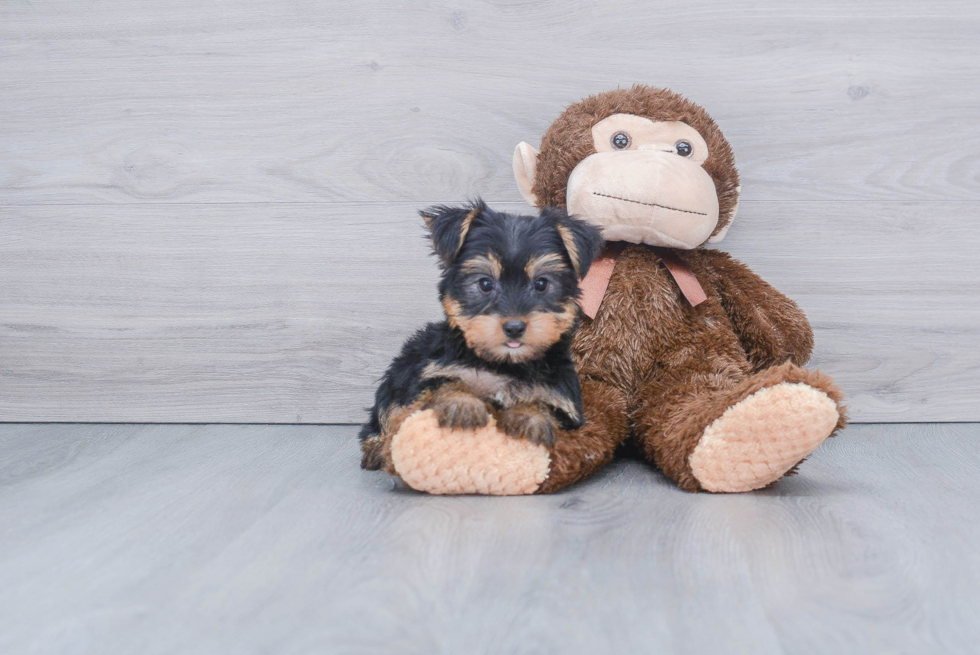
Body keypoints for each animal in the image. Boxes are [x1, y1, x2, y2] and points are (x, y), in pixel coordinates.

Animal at [362, 200, 604, 472]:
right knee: (385, 410)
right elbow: (445, 382)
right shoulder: (431, 373)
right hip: (405, 366)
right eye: (485, 284)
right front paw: (462, 404)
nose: (514, 327)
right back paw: (375, 448)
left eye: (541, 284)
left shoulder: (566, 403)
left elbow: (545, 405)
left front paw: (530, 418)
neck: (506, 365)